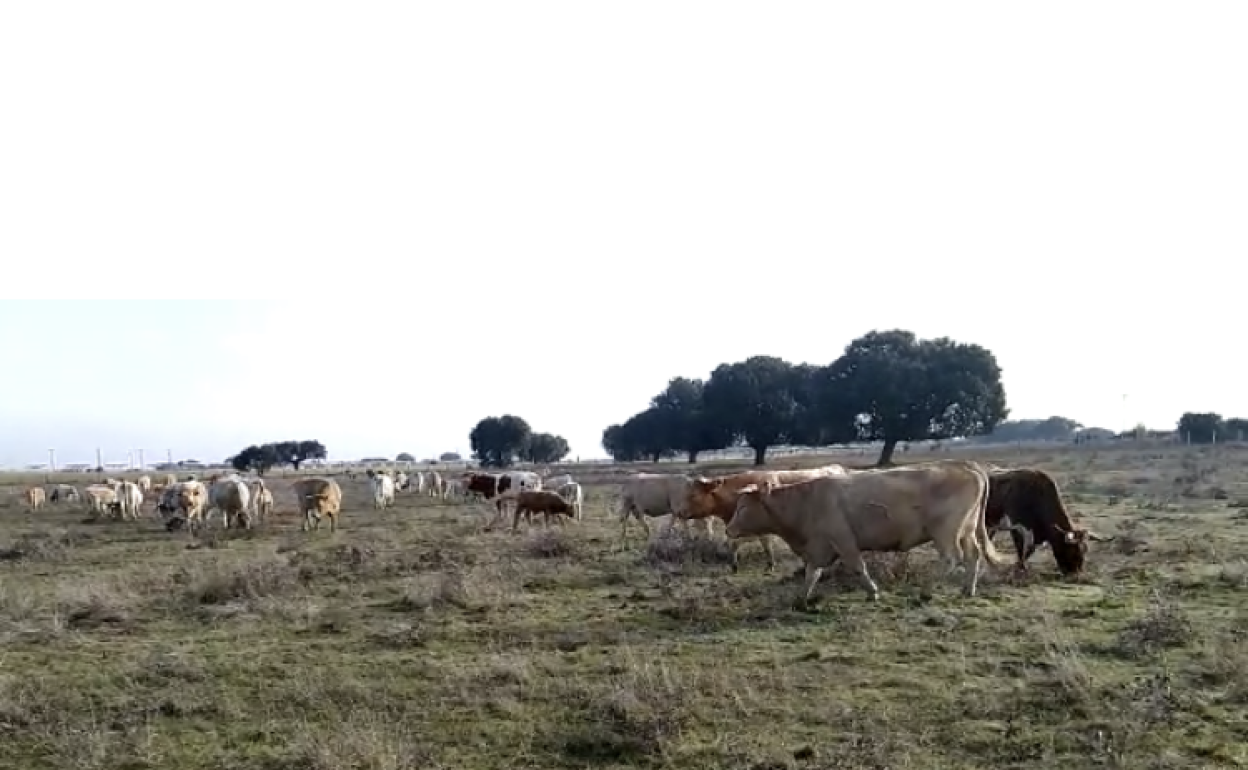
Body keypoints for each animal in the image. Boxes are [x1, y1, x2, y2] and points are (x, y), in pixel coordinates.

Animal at [678, 461, 853, 571]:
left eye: (693, 495)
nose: (680, 512)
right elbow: (734, 544)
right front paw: (733, 564)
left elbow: (764, 545)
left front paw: (770, 564)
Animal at [728, 459, 1008, 604]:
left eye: (744, 508)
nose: (729, 529)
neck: (806, 502)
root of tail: (965, 465)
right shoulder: (819, 546)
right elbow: (812, 573)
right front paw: (801, 598)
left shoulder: (843, 540)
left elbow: (857, 567)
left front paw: (873, 591)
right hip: (967, 530)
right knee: (973, 556)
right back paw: (968, 589)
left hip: (945, 532)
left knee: (952, 558)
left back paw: (927, 591)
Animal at [983, 464, 1113, 574]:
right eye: (1072, 550)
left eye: (1085, 551)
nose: (1077, 573)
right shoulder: (1016, 527)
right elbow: (1021, 550)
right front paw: (1020, 568)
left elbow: (1029, 551)